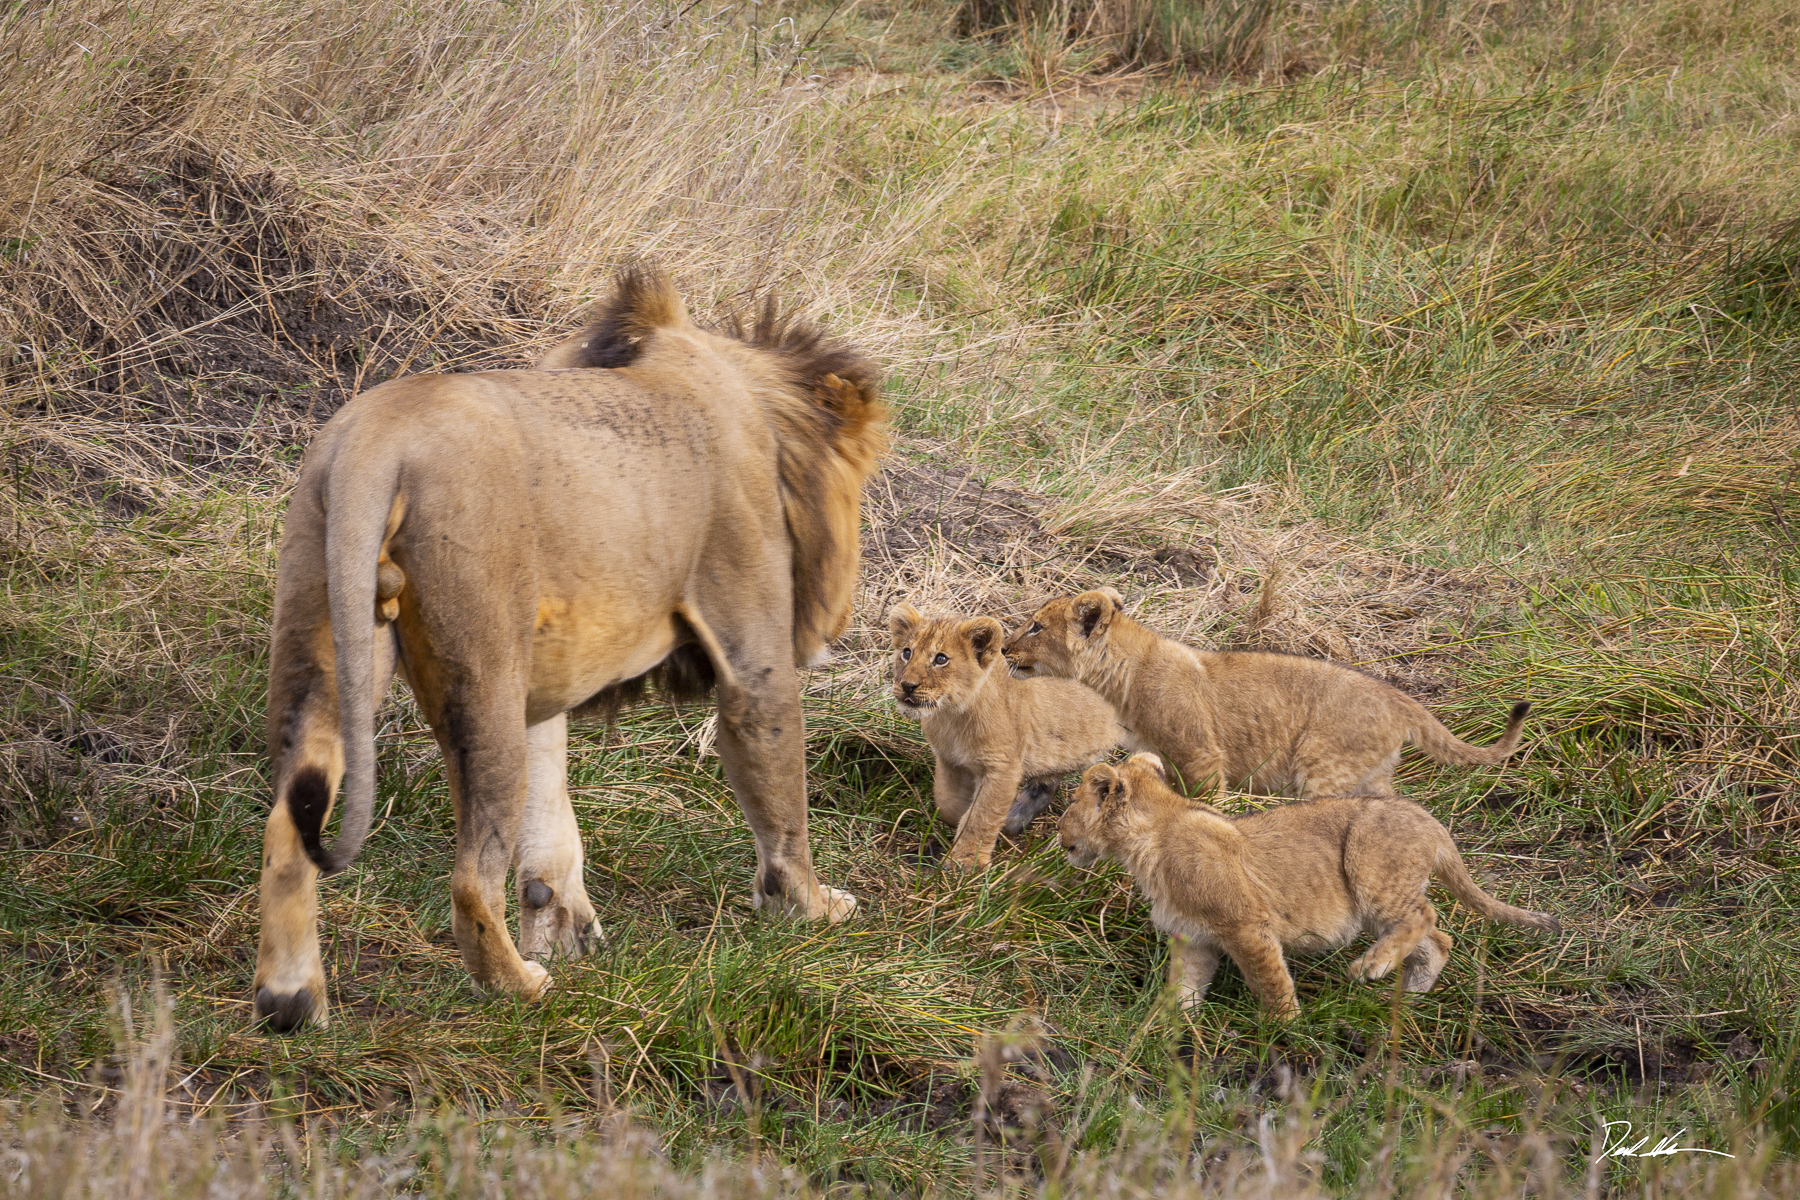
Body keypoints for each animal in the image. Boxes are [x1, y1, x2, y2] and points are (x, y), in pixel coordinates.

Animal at [259, 269, 885, 1036]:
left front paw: (565, 926)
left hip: (325, 626)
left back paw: (292, 1003)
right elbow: (782, 800)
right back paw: (519, 987)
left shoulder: (541, 674)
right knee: (471, 878)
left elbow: (550, 812)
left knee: (290, 816)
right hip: (482, 668)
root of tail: (376, 439)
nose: (844, 613)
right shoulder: (752, 647)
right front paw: (812, 906)